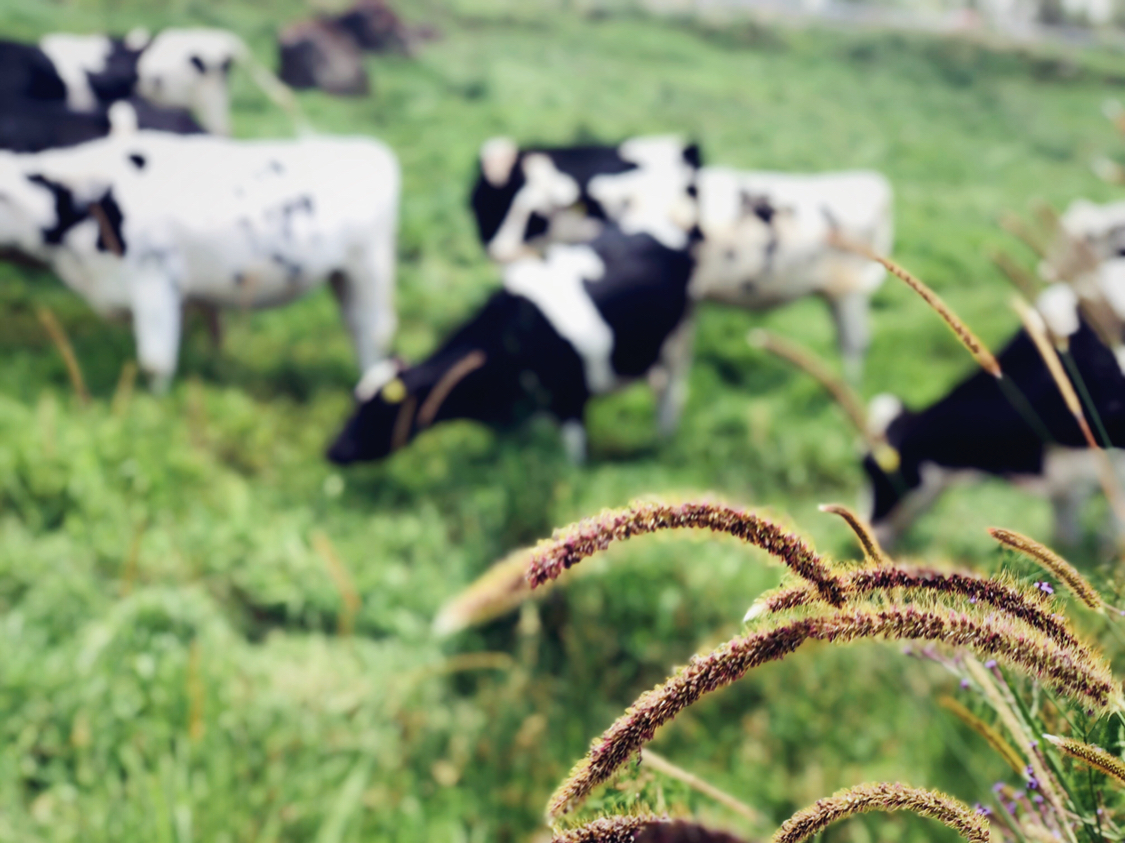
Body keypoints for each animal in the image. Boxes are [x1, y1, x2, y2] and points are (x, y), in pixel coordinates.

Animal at [0, 130, 400, 391]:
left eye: (3, 196)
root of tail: (367, 148)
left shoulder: (155, 276)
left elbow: (155, 360)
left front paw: (156, 408)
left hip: (369, 268)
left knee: (371, 331)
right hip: (343, 276)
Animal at [327, 229, 696, 466]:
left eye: (379, 410)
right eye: (355, 402)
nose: (333, 450)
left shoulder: (570, 398)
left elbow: (572, 463)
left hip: (679, 339)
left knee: (670, 390)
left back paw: (665, 438)